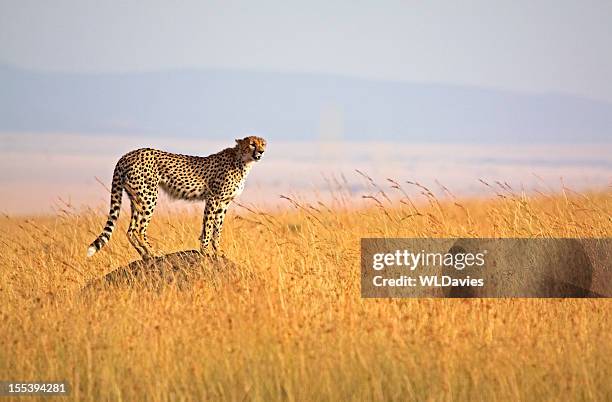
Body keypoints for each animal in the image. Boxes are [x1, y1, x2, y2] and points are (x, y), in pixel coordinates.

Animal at [86, 137, 266, 260]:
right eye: (252, 143)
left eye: (263, 144)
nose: (261, 152)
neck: (242, 161)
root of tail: (127, 155)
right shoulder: (213, 199)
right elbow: (208, 227)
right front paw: (205, 251)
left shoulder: (224, 203)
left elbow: (217, 229)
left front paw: (218, 251)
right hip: (149, 195)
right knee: (139, 228)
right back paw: (154, 252)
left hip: (136, 198)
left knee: (131, 230)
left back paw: (145, 255)